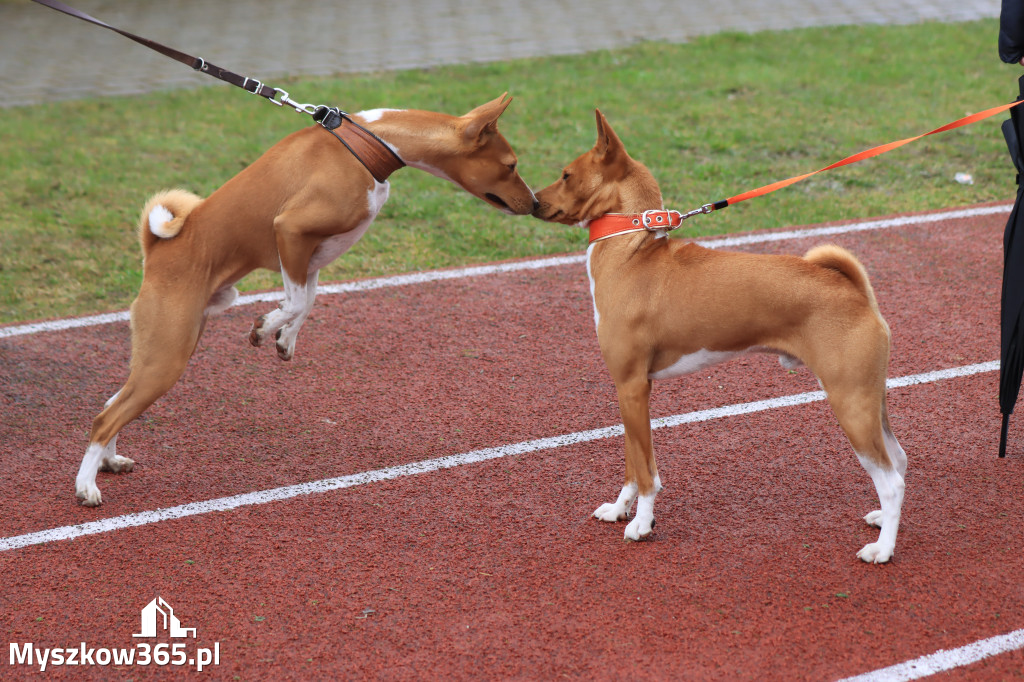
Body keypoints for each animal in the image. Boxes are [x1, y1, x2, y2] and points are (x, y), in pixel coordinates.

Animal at [73, 91, 540, 503]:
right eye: (512, 165)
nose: (536, 204)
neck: (367, 145)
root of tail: (156, 251)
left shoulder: (310, 255)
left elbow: (307, 300)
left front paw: (285, 337)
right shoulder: (290, 230)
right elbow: (297, 302)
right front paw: (267, 327)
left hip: (161, 352)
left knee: (110, 404)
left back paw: (110, 462)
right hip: (167, 357)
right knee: (105, 417)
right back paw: (86, 487)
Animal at [532, 109, 909, 561]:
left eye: (566, 175)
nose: (532, 201)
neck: (632, 252)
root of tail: (854, 292)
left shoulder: (633, 387)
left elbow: (648, 474)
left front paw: (641, 524)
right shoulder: (628, 390)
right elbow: (632, 465)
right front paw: (619, 510)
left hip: (850, 402)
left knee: (891, 481)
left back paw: (882, 549)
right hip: (871, 398)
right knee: (899, 460)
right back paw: (883, 522)